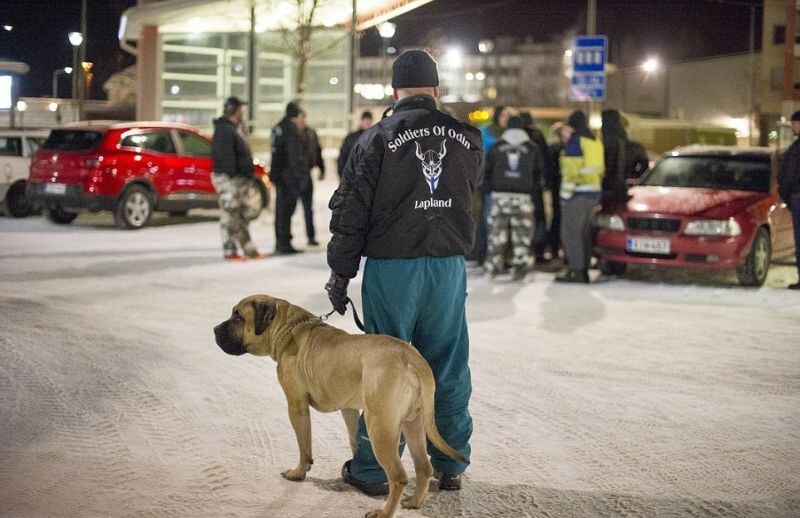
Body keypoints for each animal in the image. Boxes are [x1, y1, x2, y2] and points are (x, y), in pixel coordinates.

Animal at [212, 296, 462, 518]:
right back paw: (415, 502)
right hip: (414, 424)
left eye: (238, 316)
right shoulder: (348, 408)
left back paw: (384, 512)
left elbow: (304, 445)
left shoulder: (296, 406)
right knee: (424, 467)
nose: (214, 329)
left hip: (380, 427)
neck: (287, 326)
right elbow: (353, 439)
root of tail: (412, 359)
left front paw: (298, 472)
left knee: (399, 476)